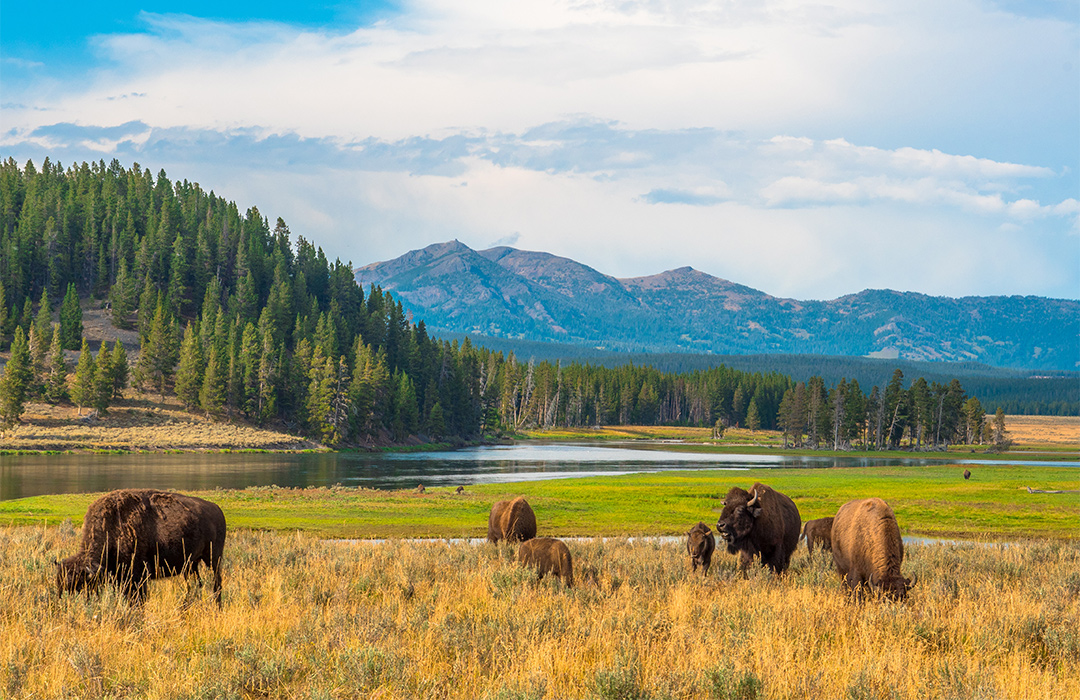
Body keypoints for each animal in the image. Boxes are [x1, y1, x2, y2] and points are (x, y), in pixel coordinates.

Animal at [55, 486, 226, 604]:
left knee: (216, 584)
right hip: (191, 565)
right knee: (195, 585)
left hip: (213, 559)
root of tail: (217, 509)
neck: (112, 526)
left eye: (79, 586)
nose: (67, 604)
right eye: (59, 586)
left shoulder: (138, 576)